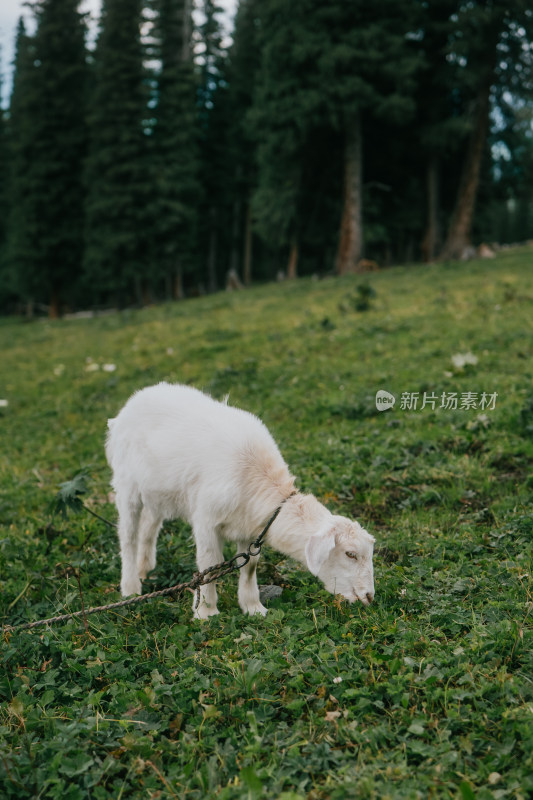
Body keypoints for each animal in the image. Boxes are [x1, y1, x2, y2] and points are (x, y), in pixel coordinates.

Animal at [106, 382, 374, 620]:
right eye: (350, 554)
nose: (369, 597)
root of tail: (134, 401)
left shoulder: (250, 527)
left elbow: (249, 566)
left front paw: (253, 608)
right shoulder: (206, 521)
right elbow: (209, 565)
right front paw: (206, 612)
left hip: (158, 492)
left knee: (149, 525)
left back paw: (145, 569)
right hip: (127, 486)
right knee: (128, 536)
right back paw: (130, 586)